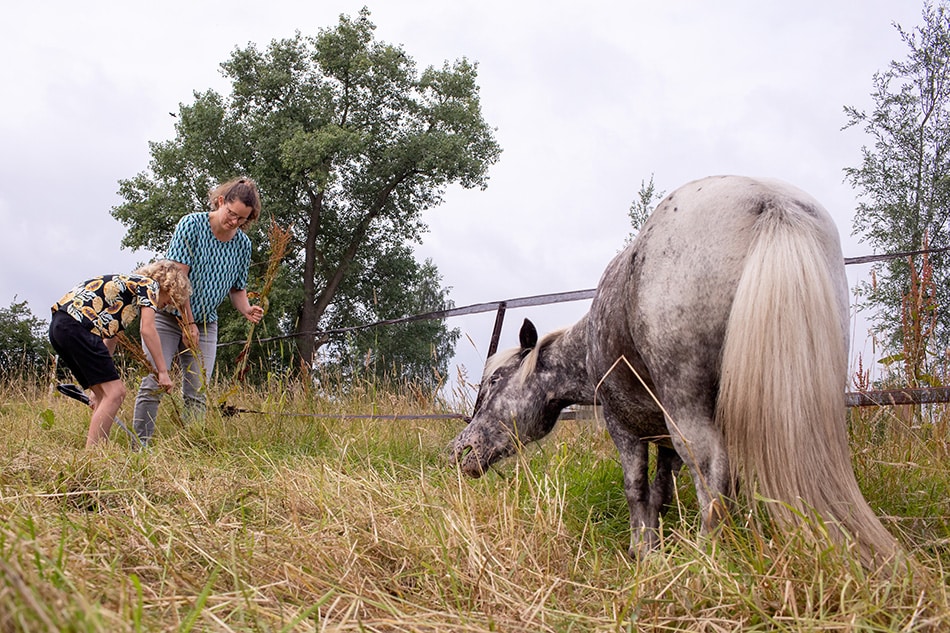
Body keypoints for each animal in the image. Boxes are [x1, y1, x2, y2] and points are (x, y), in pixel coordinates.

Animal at [449, 175, 901, 569]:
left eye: (493, 382)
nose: (459, 450)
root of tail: (769, 200)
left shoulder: (625, 427)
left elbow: (636, 489)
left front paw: (642, 550)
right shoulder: (664, 440)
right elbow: (661, 494)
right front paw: (655, 544)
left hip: (688, 411)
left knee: (713, 471)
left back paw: (706, 555)